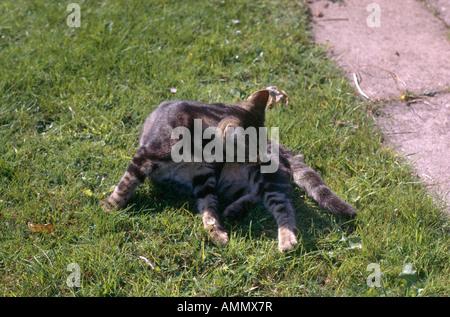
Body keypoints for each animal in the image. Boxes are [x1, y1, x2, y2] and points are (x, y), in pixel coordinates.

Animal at [104, 88, 356, 249]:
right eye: (252, 151)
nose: (265, 159)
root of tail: (282, 150)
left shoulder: (204, 176)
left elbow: (208, 207)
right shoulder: (150, 156)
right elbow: (127, 183)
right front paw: (109, 208)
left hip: (265, 179)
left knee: (284, 207)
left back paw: (286, 239)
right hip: (238, 183)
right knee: (259, 196)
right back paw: (235, 209)